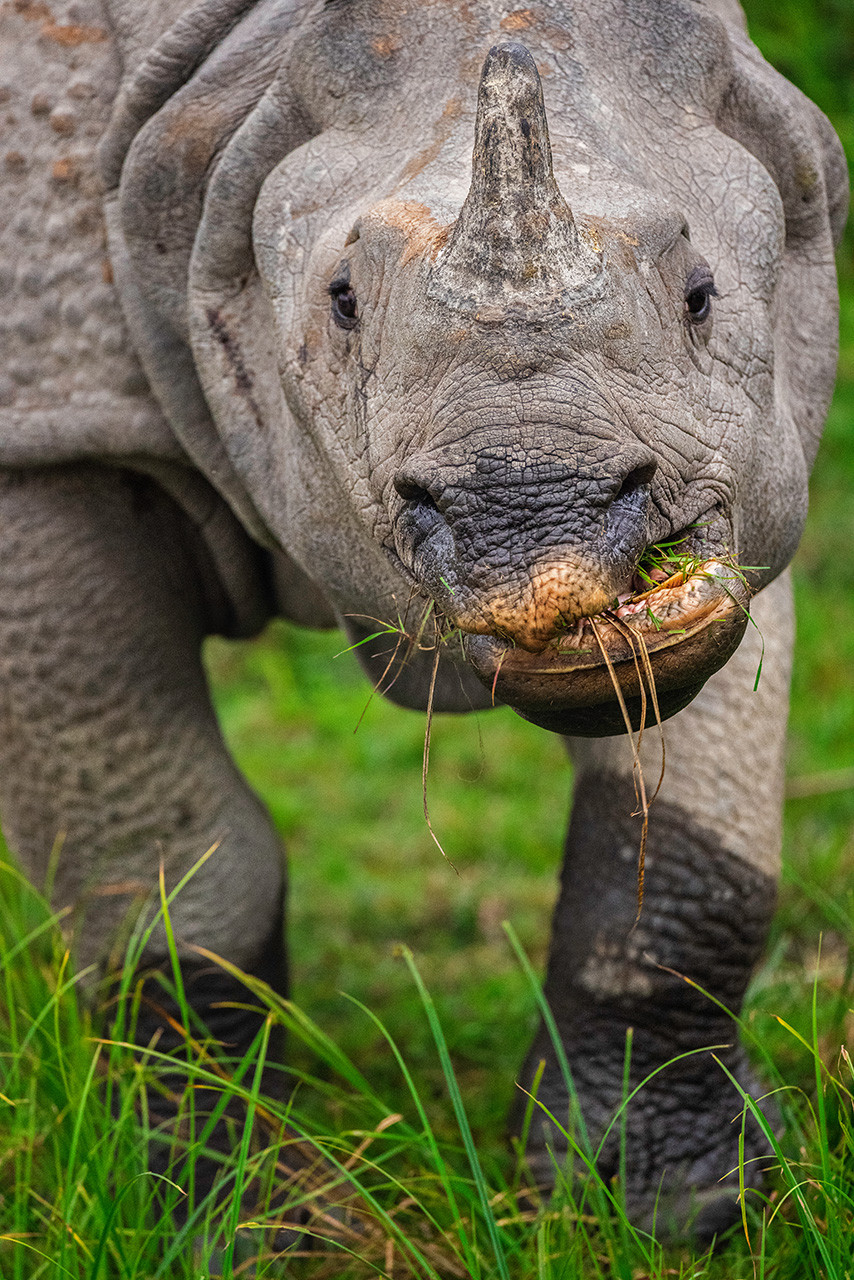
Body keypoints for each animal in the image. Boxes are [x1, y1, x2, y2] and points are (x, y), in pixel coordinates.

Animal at [0, 0, 847, 1240]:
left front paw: (666, 1203)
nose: (534, 526)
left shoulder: (747, 448)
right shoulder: (48, 429)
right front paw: (219, 1214)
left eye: (700, 293)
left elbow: (689, 841)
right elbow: (164, 858)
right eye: (340, 303)